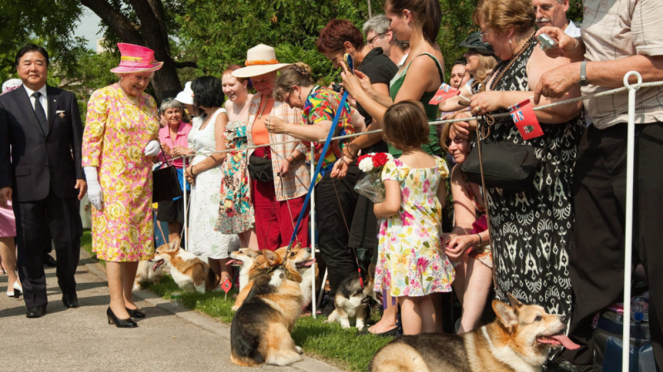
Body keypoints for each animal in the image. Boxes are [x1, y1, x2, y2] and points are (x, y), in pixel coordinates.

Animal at [370, 294, 580, 372]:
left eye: (546, 312)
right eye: (538, 318)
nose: (565, 318)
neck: (512, 348)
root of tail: (374, 360)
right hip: (416, 362)